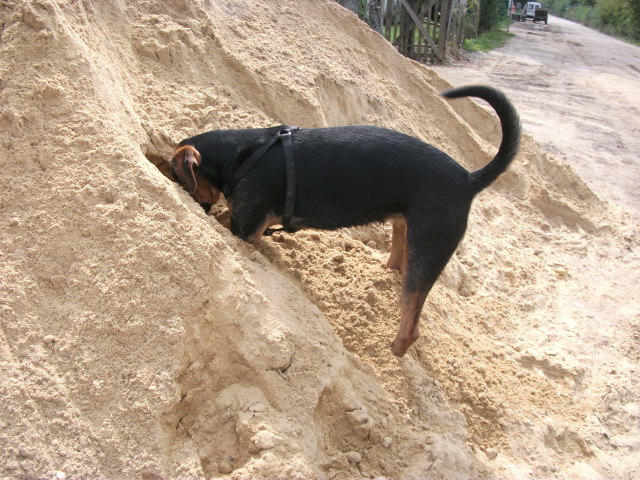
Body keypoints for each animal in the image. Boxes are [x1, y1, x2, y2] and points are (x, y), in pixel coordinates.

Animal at [170, 85, 520, 356]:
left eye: (175, 173)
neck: (242, 156)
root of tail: (467, 179)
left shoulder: (245, 229)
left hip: (429, 248)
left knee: (411, 323)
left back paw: (393, 350)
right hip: (405, 228)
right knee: (398, 265)